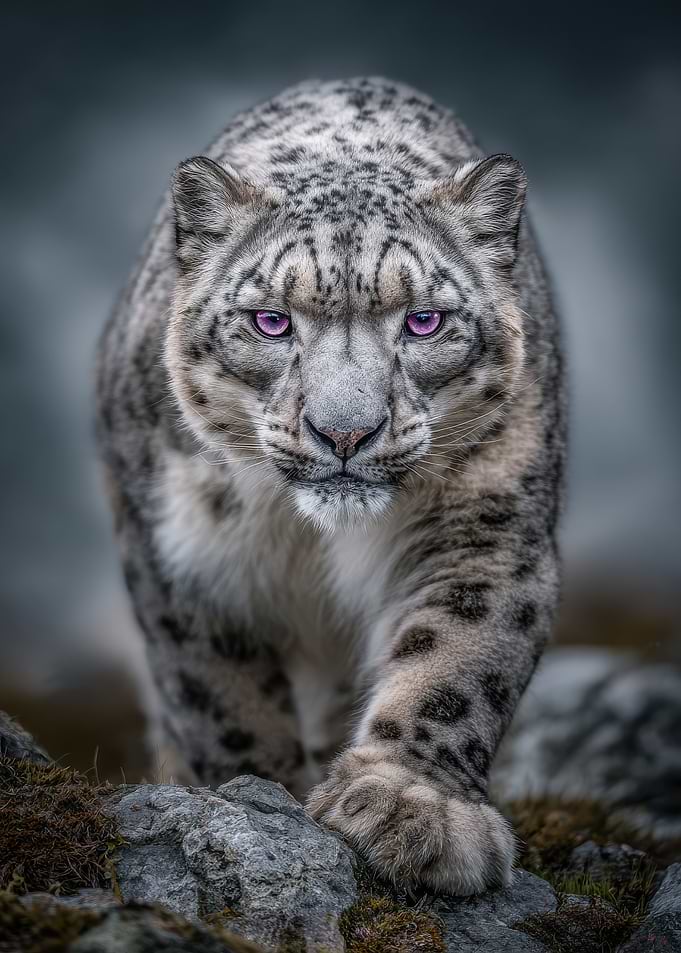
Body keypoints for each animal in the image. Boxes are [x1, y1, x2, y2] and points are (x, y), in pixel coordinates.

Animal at [96, 77, 565, 896]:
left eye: (423, 320)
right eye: (270, 320)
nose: (345, 433)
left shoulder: (490, 523)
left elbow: (459, 655)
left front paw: (410, 808)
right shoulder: (179, 554)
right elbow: (220, 697)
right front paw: (255, 796)